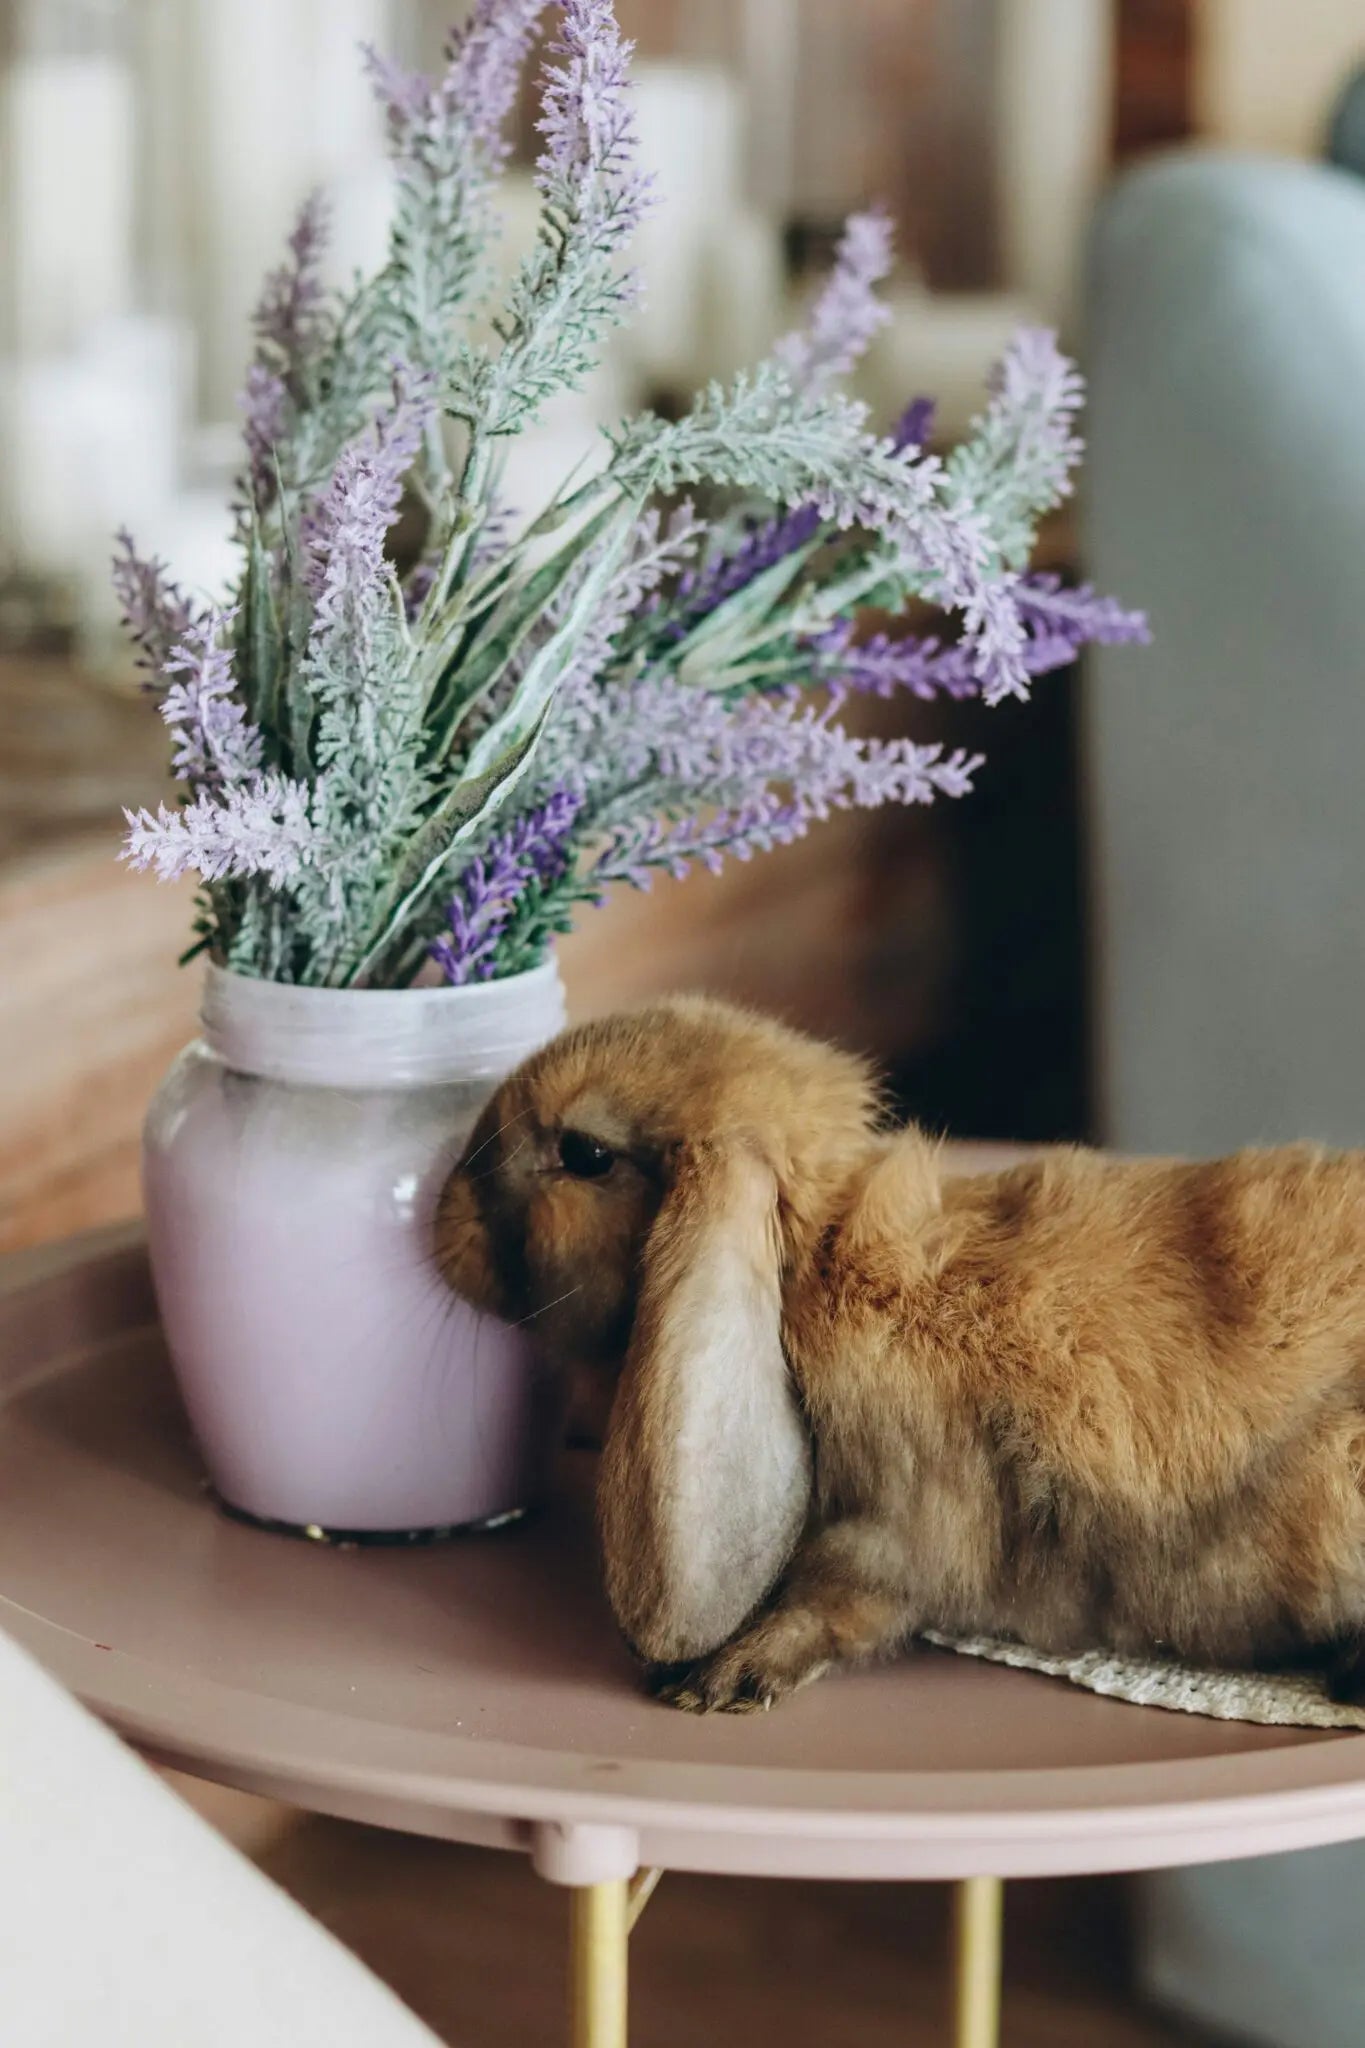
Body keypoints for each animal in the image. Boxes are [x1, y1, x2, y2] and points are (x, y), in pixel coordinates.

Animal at [434, 994, 1365, 1714]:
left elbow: (837, 1608)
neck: (813, 1267)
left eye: (583, 1154)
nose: (441, 1220)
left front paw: (720, 1681)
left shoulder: (892, 1532)